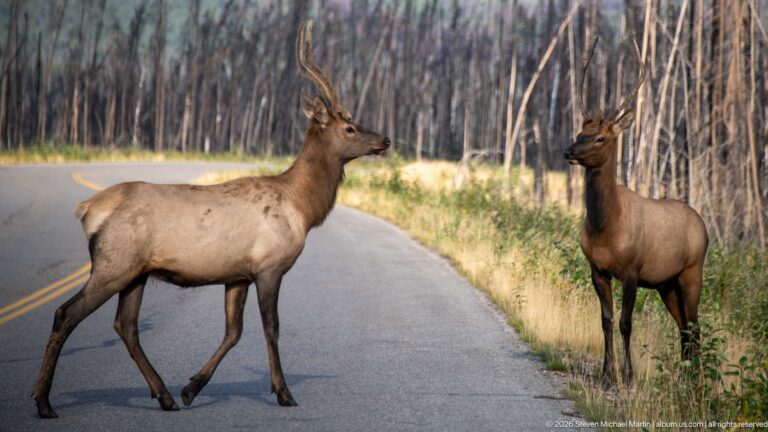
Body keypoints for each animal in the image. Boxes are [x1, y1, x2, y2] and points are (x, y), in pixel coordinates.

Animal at [32, 20, 390, 419]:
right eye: (349, 127)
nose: (385, 140)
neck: (302, 208)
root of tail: (88, 209)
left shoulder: (237, 275)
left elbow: (233, 331)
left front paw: (191, 388)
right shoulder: (269, 266)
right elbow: (271, 328)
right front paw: (284, 392)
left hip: (135, 272)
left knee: (126, 325)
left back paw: (165, 396)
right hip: (113, 264)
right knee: (66, 313)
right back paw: (44, 402)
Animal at [563, 40, 708, 385]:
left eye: (601, 137)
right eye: (580, 132)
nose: (569, 151)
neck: (605, 226)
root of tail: (703, 226)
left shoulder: (632, 269)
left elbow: (626, 322)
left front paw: (628, 376)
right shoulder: (597, 270)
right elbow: (605, 319)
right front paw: (607, 374)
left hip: (692, 271)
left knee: (695, 326)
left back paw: (695, 381)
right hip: (666, 283)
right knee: (684, 328)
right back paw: (684, 378)